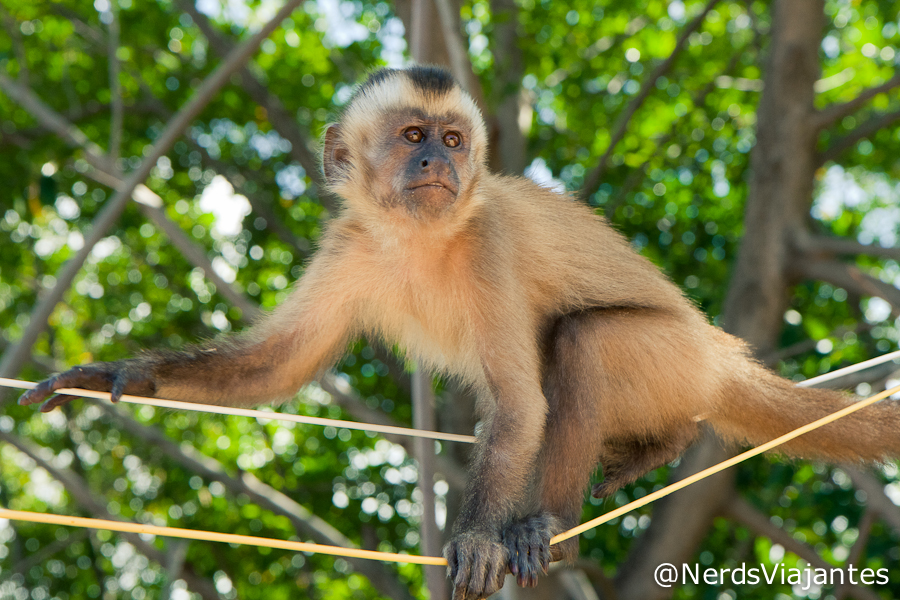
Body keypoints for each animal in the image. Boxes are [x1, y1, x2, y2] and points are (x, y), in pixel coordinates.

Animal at [15, 67, 900, 600]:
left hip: (677, 355)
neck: (421, 238)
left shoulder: (487, 244)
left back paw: (548, 524)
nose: (437, 164)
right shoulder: (350, 246)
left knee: (580, 345)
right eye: (413, 138)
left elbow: (519, 403)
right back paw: (653, 450)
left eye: (452, 142)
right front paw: (117, 376)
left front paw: (477, 537)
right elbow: (273, 368)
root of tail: (722, 353)